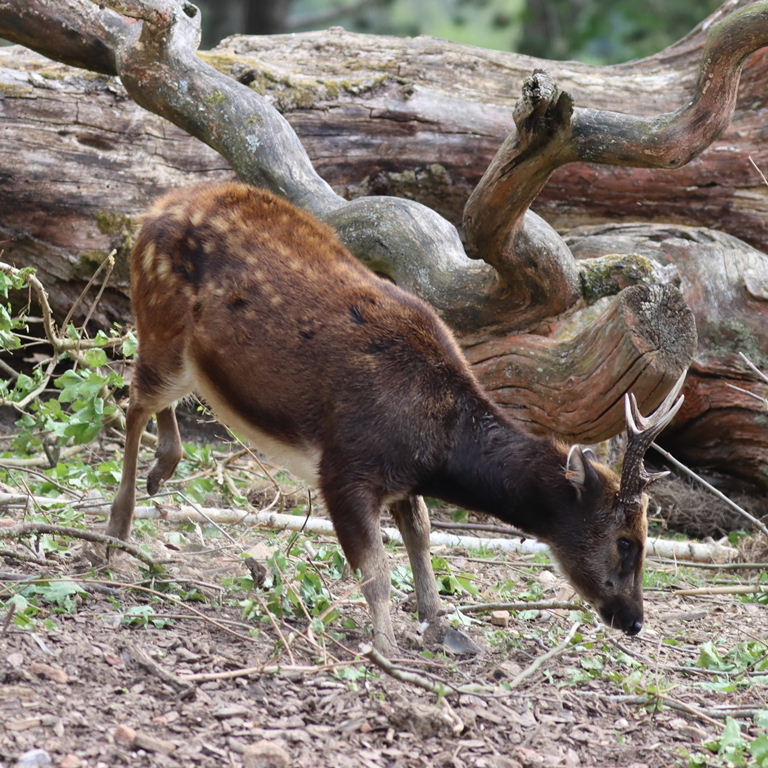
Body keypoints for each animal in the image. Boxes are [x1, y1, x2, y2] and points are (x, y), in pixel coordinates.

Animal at [108, 182, 686, 655]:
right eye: (627, 541)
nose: (634, 620)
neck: (438, 447)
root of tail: (151, 211)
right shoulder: (346, 467)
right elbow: (377, 570)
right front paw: (385, 646)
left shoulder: (402, 484)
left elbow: (422, 538)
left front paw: (440, 628)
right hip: (161, 322)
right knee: (133, 399)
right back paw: (117, 528)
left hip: (188, 359)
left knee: (156, 400)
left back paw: (162, 473)